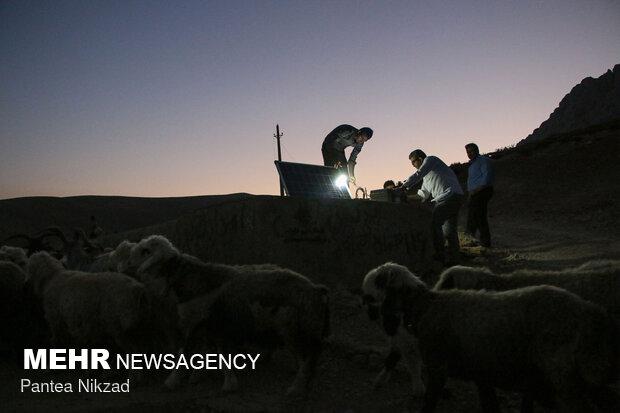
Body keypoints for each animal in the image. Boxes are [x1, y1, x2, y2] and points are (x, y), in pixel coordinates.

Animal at [26, 251, 179, 354]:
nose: (26, 283)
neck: (53, 277)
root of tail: (138, 290)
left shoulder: (56, 321)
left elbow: (57, 342)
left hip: (121, 328)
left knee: (135, 352)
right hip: (146, 324)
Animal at [360, 262, 616, 410]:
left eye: (370, 295)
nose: (373, 319)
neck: (425, 305)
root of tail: (589, 311)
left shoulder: (439, 367)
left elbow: (430, 401)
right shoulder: (482, 373)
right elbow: (491, 405)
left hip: (564, 374)